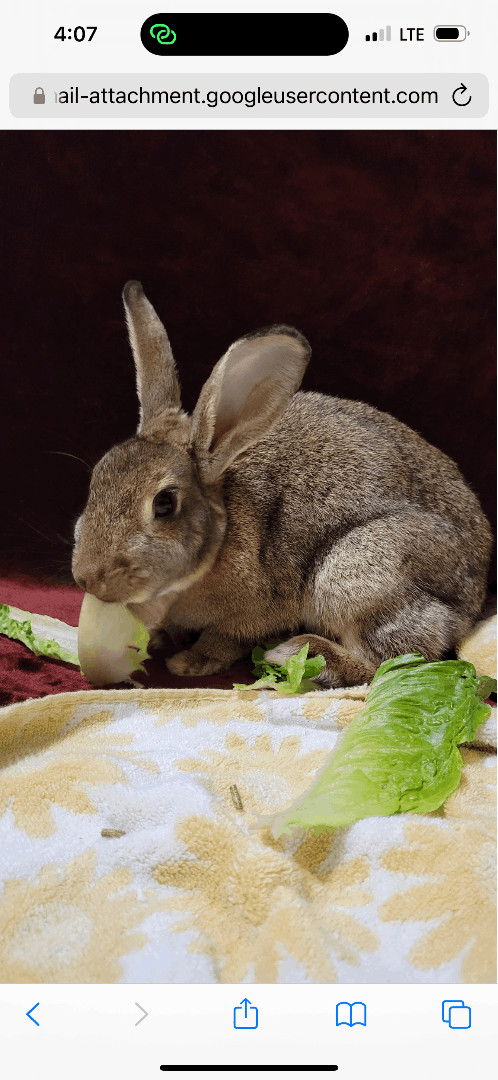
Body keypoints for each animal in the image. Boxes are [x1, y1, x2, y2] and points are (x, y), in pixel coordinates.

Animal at [72, 281, 493, 688]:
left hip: (356, 574)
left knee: (391, 661)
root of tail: (471, 599)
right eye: (97, 479)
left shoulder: (257, 609)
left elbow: (227, 638)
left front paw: (190, 662)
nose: (87, 578)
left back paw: (300, 655)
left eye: (164, 503)